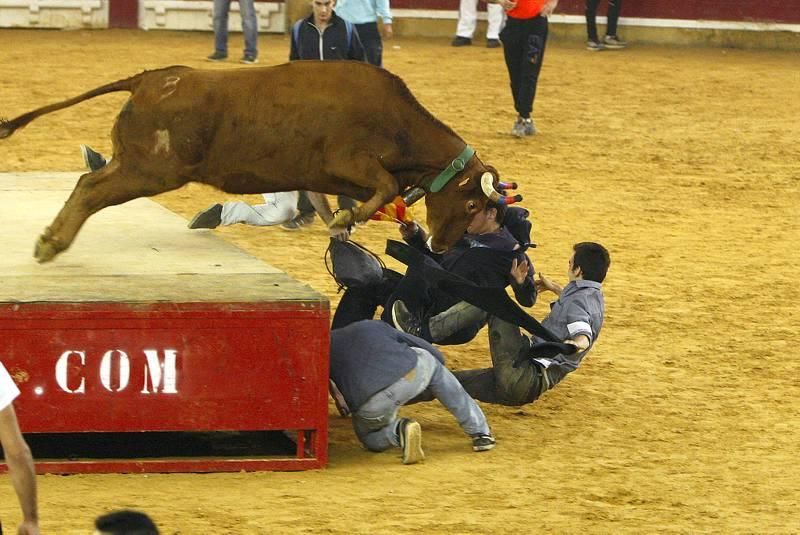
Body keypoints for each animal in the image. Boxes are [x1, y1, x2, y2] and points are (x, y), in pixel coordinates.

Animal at [1, 61, 520, 262]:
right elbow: (385, 186)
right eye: (471, 204)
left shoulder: (327, 176)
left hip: (135, 164)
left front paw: (341, 222)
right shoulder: (350, 160)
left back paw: (51, 239)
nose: (441, 245)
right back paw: (51, 244)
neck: (397, 118)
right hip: (151, 170)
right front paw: (347, 218)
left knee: (86, 181)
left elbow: (350, 199)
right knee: (91, 189)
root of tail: (149, 79)